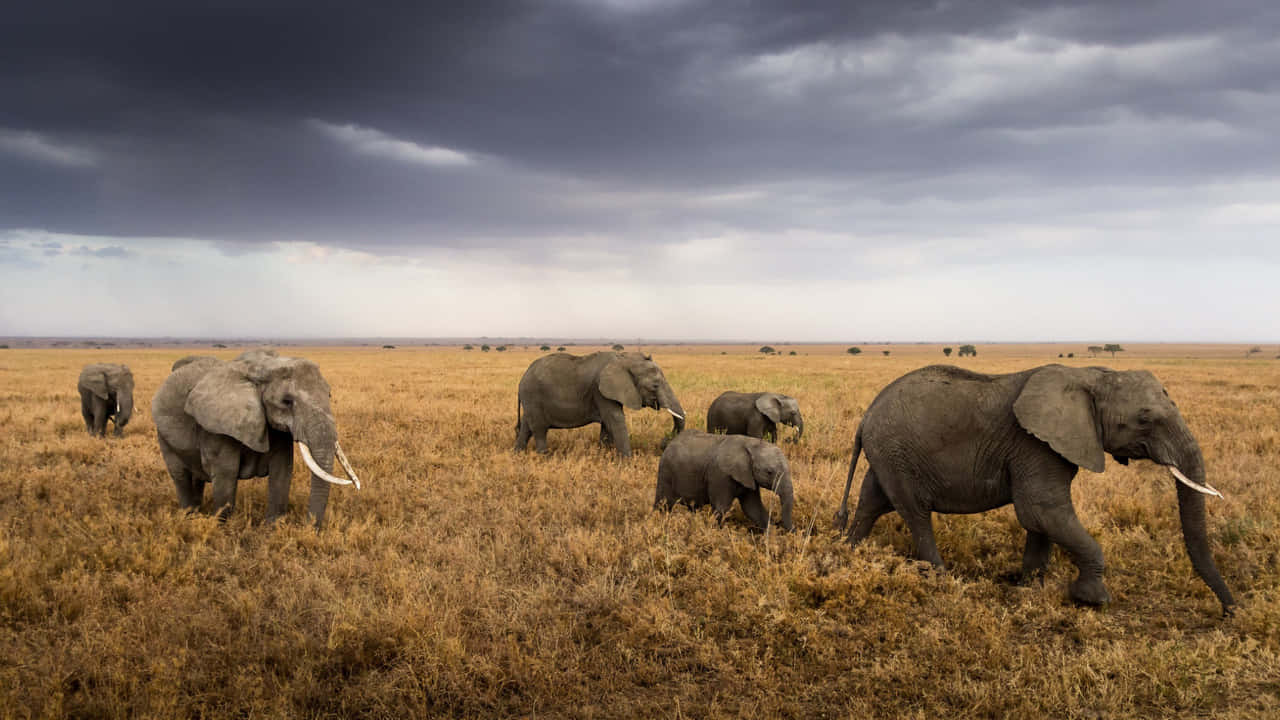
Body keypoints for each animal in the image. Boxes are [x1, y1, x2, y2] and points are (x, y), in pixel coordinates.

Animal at [151, 349, 361, 528]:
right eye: (287, 402)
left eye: (329, 395)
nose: (310, 528)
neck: (262, 369)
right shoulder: (216, 427)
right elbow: (226, 473)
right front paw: (221, 529)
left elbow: (282, 469)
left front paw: (273, 527)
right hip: (163, 436)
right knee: (181, 476)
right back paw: (189, 516)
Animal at [515, 351, 685, 457]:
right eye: (655, 386)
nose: (664, 442)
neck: (625, 358)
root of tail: (522, 378)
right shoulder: (600, 390)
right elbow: (615, 420)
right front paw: (626, 462)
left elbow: (607, 424)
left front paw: (604, 456)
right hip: (533, 396)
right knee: (539, 429)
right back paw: (544, 457)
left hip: (530, 400)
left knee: (526, 426)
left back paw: (518, 454)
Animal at [655, 430, 794, 531]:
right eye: (769, 472)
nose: (792, 531)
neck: (750, 443)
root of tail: (670, 443)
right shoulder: (719, 475)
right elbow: (722, 508)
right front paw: (719, 534)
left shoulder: (749, 477)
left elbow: (753, 508)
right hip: (666, 472)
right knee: (663, 504)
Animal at [833, 364, 1235, 615]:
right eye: (1145, 420)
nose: (1230, 611)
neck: (1090, 375)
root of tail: (866, 416)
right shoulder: (1034, 444)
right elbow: (1041, 510)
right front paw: (1093, 600)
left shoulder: (1047, 446)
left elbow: (1041, 519)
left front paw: (1030, 586)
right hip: (897, 453)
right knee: (915, 513)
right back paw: (941, 578)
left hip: (887, 454)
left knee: (872, 502)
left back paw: (848, 554)